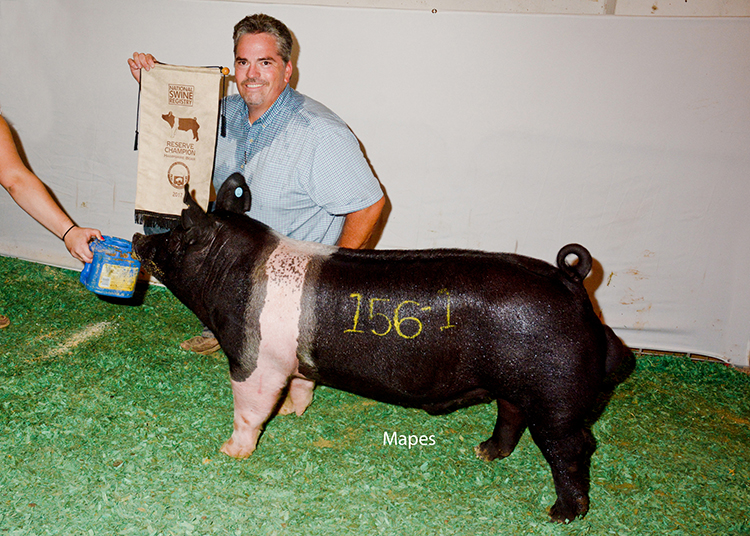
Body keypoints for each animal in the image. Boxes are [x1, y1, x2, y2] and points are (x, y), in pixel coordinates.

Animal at [132, 173, 631, 523]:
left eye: (176, 234)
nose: (139, 237)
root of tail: (572, 283)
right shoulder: (293, 363)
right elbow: (301, 386)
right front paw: (293, 413)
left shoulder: (253, 359)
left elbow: (250, 408)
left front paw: (229, 452)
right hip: (516, 383)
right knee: (511, 414)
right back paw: (485, 452)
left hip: (556, 394)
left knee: (574, 446)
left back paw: (561, 514)